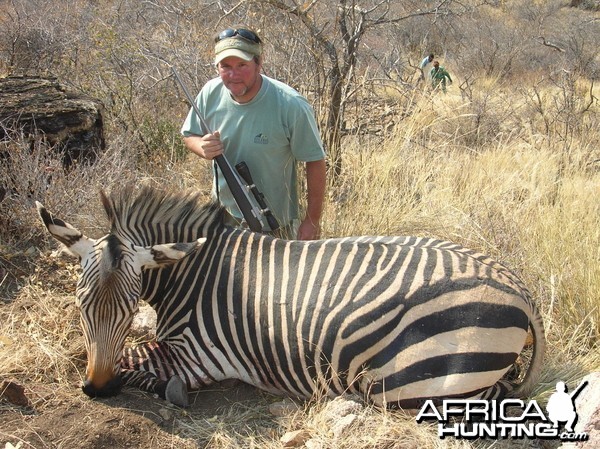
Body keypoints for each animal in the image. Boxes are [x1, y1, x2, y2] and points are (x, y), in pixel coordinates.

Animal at [36, 184, 544, 408]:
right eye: (80, 306)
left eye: (129, 309)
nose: (97, 388)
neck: (194, 270)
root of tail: (518, 289)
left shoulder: (197, 355)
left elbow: (132, 360)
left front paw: (166, 389)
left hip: (418, 383)